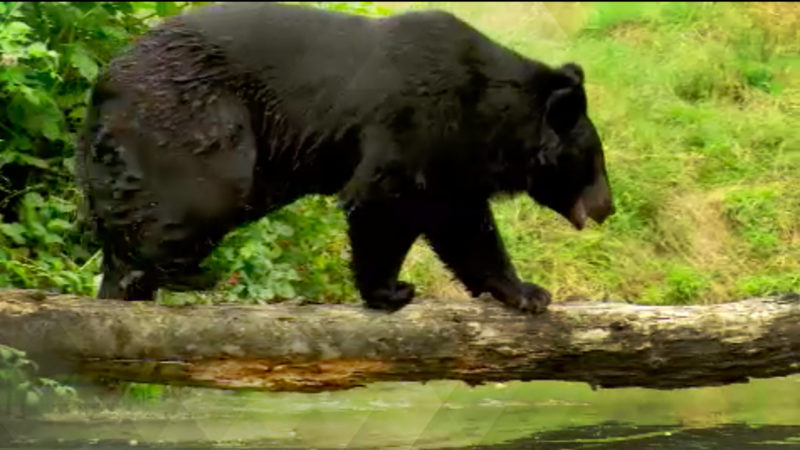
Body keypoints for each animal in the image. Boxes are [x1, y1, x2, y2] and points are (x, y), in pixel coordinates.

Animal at [75, 2, 616, 312]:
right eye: (593, 160)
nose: (607, 207)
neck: (487, 112)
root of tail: (102, 85)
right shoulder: (415, 118)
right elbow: (383, 198)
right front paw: (390, 291)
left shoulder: (454, 156)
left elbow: (461, 223)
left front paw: (525, 292)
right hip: (192, 124)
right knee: (197, 197)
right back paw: (180, 272)